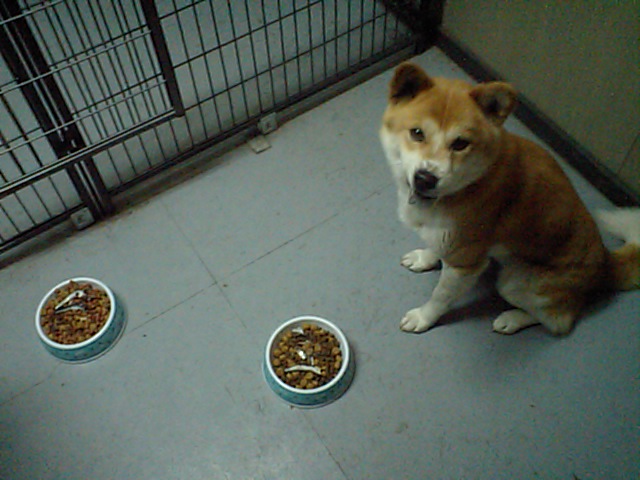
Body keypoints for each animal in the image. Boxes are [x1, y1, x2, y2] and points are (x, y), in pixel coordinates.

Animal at [379, 62, 640, 335]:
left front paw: (423, 317)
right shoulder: (448, 241)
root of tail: (605, 263)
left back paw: (512, 319)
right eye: (417, 133)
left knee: (560, 321)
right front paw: (424, 258)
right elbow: (435, 248)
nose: (425, 178)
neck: (466, 185)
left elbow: (440, 297)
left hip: (513, 282)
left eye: (460, 143)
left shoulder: (465, 265)